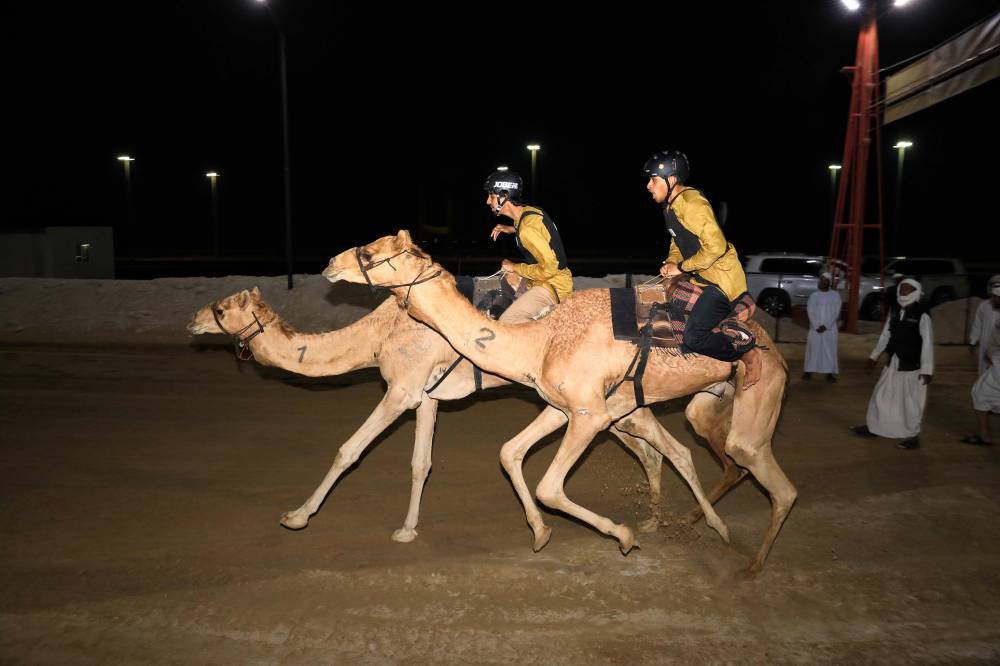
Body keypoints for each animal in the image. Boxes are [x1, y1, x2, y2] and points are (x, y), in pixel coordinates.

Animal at [187, 287, 679, 543]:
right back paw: (652, 520)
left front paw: (297, 516)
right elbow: (420, 462)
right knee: (649, 448)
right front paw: (408, 529)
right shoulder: (426, 397)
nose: (193, 321)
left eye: (221, 308)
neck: (376, 337)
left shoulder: (401, 390)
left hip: (597, 399)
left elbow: (349, 450)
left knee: (657, 445)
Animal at [323, 231, 796, 574]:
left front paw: (623, 537)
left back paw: (749, 563)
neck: (541, 340)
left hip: (760, 394)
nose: (331, 264)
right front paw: (539, 534)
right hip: (707, 403)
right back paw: (695, 523)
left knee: (770, 478)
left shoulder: (589, 415)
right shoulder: (560, 406)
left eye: (369, 251)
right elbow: (510, 452)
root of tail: (771, 345)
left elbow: (549, 486)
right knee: (712, 452)